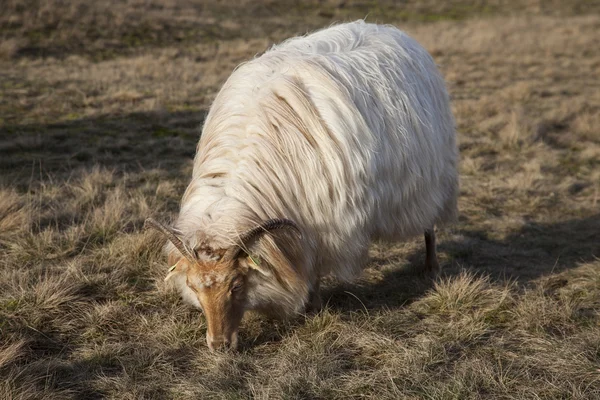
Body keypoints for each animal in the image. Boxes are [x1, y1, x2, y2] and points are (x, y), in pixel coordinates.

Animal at [145, 20, 460, 350]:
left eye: (236, 285)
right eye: (193, 286)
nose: (219, 345)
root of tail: (390, 30)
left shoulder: (326, 223)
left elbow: (317, 266)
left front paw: (314, 306)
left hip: (434, 176)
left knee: (430, 223)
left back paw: (431, 265)